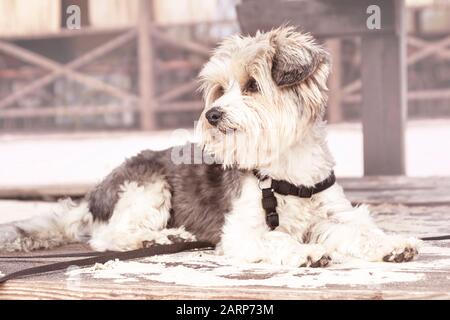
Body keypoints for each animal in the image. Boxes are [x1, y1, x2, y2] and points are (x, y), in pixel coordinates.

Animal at [0, 27, 422, 268]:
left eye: (252, 85)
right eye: (220, 90)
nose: (213, 114)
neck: (285, 170)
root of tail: (92, 197)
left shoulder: (334, 215)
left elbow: (360, 231)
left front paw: (393, 244)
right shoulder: (243, 229)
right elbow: (275, 237)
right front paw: (304, 252)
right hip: (147, 187)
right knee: (110, 236)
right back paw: (164, 238)